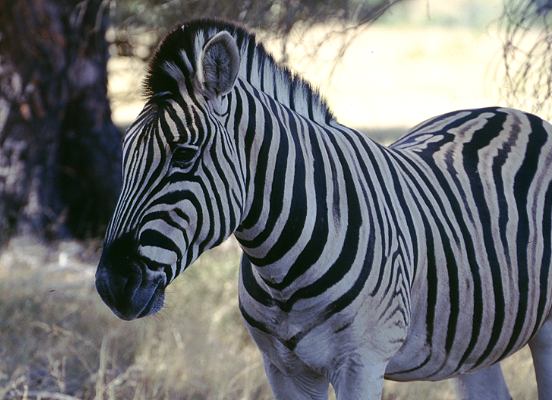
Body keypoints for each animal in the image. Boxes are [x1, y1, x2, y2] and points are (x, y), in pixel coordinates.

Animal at [97, 19, 552, 400]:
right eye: (124, 155)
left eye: (184, 155)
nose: (109, 284)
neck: (280, 268)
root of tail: (510, 113)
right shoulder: (283, 368)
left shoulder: (361, 364)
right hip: (475, 341)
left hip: (545, 331)